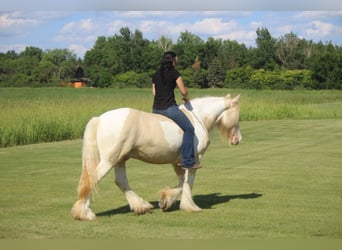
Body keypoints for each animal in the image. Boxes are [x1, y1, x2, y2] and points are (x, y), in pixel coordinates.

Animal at [71, 94, 242, 221]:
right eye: (238, 115)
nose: (238, 139)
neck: (197, 118)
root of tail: (99, 119)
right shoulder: (195, 160)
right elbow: (188, 183)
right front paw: (190, 206)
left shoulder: (177, 162)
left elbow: (181, 182)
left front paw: (166, 200)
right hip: (109, 160)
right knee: (92, 179)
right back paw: (85, 213)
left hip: (120, 160)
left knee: (120, 181)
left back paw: (141, 206)